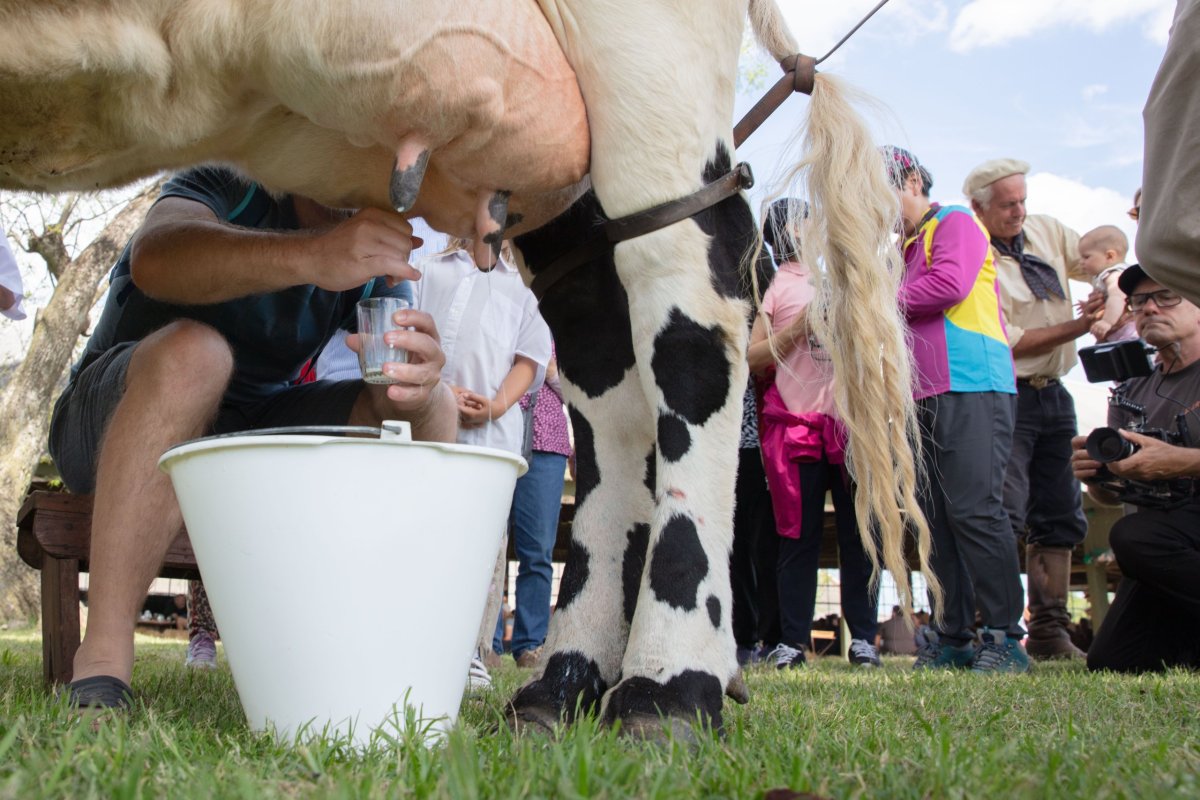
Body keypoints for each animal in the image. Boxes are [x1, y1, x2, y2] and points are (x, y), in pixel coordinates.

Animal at [0, 0, 931, 738]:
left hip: (645, 59)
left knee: (688, 295)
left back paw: (669, 687)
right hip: (556, 176)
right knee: (603, 354)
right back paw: (562, 684)